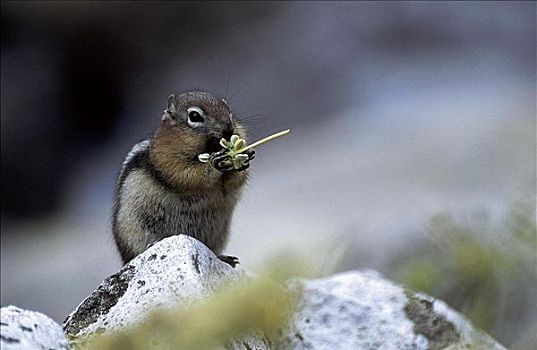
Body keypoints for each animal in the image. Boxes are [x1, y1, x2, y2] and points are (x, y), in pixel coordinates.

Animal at [111, 90, 253, 266]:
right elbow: (187, 175)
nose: (228, 129)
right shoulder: (167, 159)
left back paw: (224, 258)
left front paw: (244, 158)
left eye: (228, 110)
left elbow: (233, 183)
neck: (209, 147)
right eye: (194, 116)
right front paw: (215, 162)